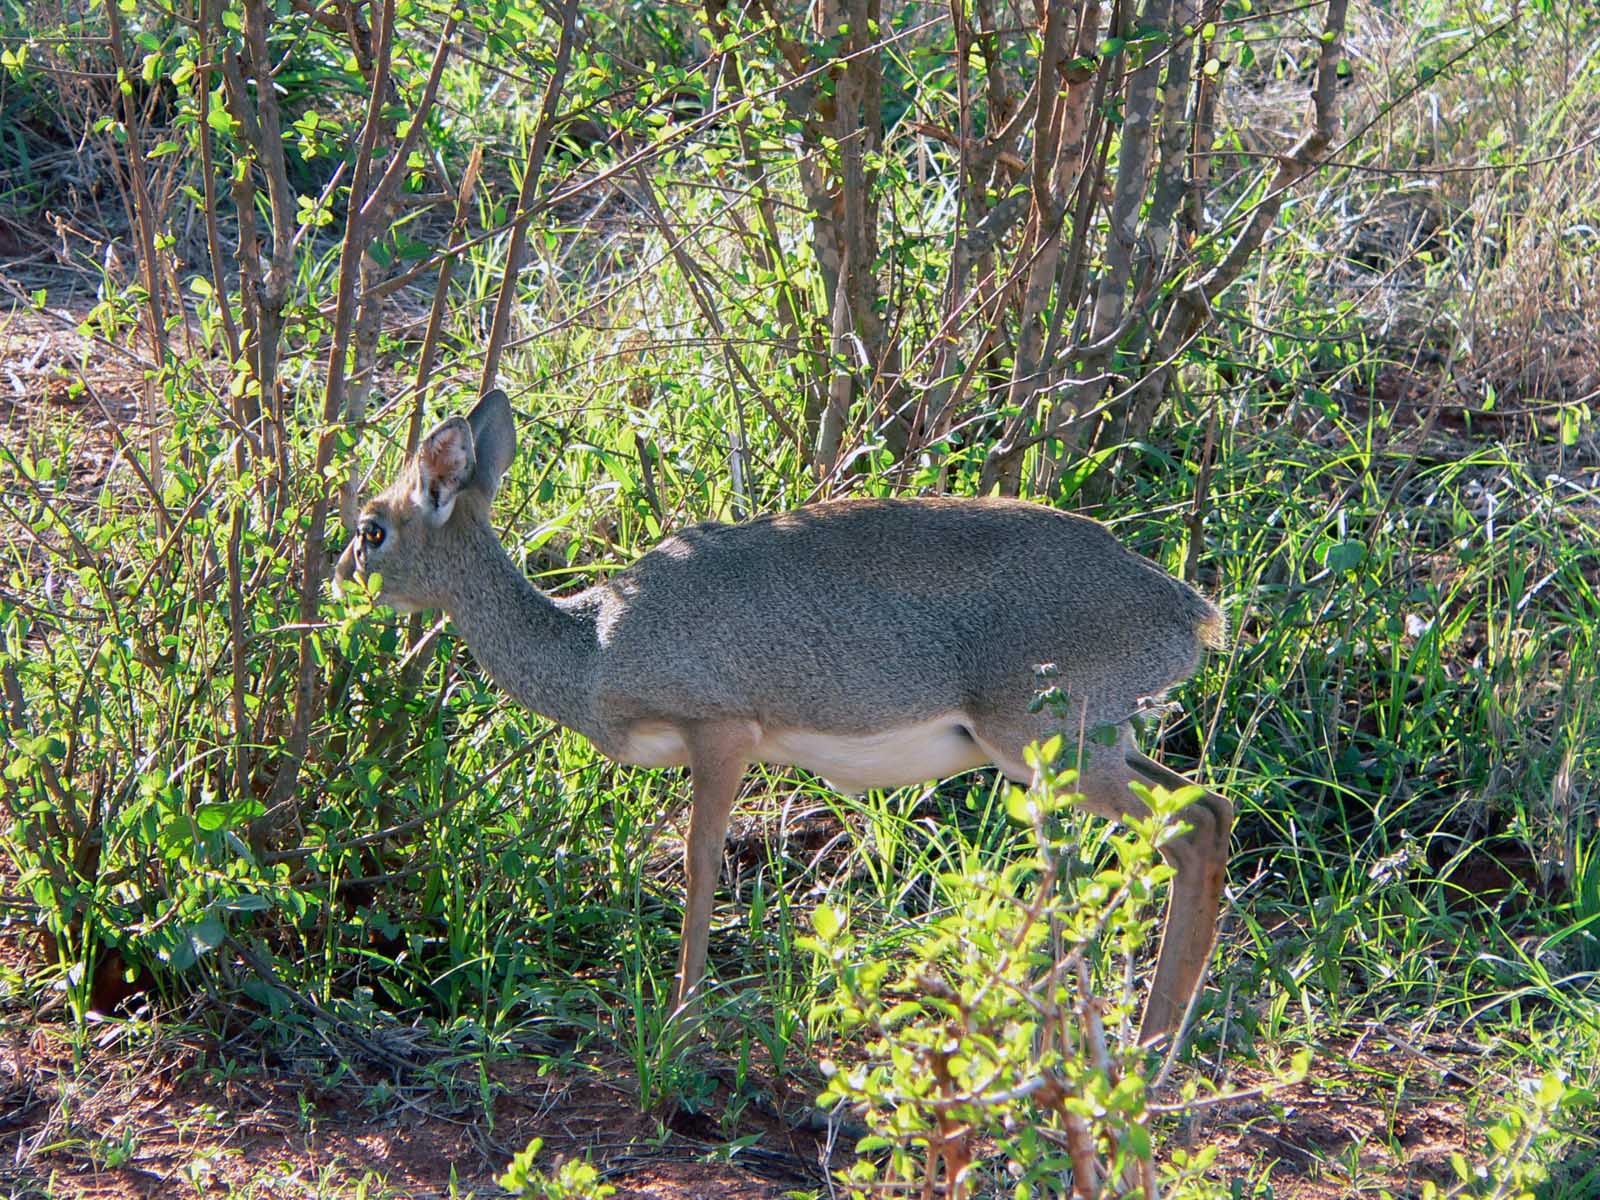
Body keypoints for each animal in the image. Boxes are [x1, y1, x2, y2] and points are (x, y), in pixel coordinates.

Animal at [337, 392, 1228, 1043]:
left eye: (373, 528)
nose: (340, 575)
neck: (596, 645)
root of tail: (1191, 610)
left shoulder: (723, 732)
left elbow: (699, 866)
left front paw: (681, 1021)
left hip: (1048, 745)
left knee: (1182, 833)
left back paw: (1129, 1048)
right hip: (1082, 747)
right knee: (1206, 811)